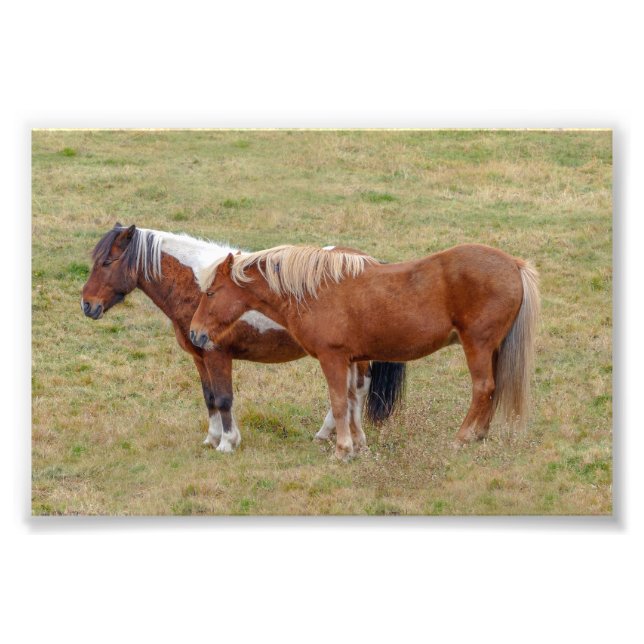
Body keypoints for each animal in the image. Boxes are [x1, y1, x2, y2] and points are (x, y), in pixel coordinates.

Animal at [80, 224, 406, 452]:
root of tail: (371, 263)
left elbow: (224, 398)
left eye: (107, 262)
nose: (87, 305)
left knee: (357, 390)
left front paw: (227, 442)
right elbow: (210, 397)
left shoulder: (217, 354)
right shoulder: (200, 357)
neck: (198, 285)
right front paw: (212, 438)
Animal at [190, 243, 540, 459]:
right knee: (494, 389)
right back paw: (479, 435)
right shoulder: (351, 360)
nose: (195, 333)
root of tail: (513, 265)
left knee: (483, 388)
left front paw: (342, 450)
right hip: (493, 350)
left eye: (211, 292)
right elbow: (353, 401)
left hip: (477, 346)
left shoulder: (332, 358)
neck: (315, 290)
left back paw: (463, 438)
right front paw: (359, 446)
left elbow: (339, 402)